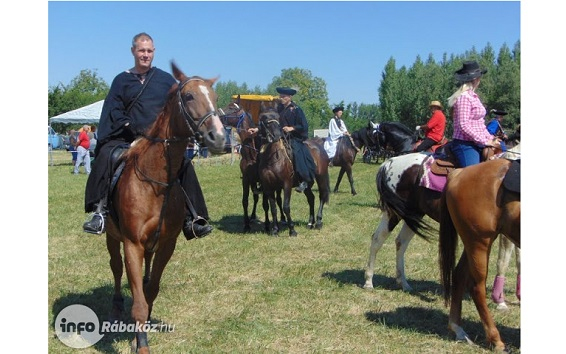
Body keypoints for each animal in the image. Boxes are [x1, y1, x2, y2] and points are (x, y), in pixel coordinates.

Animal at [440, 157, 524, 352]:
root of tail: (459, 174)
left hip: (472, 243)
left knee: (459, 275)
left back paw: (458, 330)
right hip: (480, 242)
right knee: (476, 287)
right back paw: (495, 340)